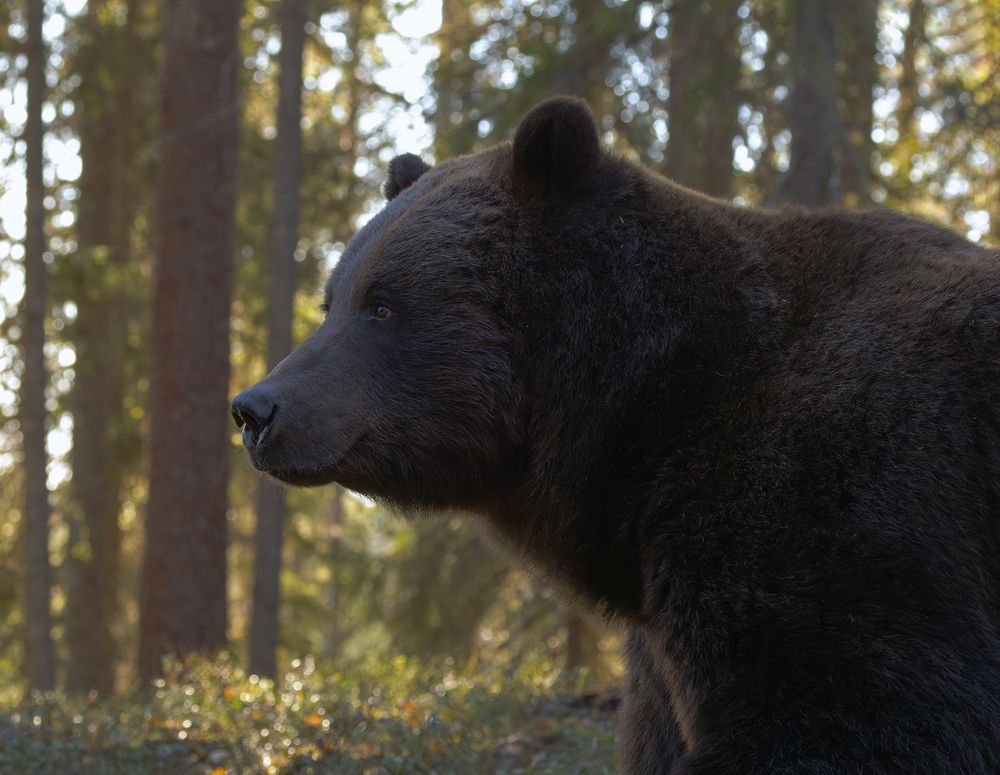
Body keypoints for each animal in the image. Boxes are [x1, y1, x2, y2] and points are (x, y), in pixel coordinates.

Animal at [232, 96, 1000, 773]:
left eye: (383, 304)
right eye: (333, 300)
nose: (255, 408)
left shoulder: (844, 509)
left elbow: (858, 713)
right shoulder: (663, 627)